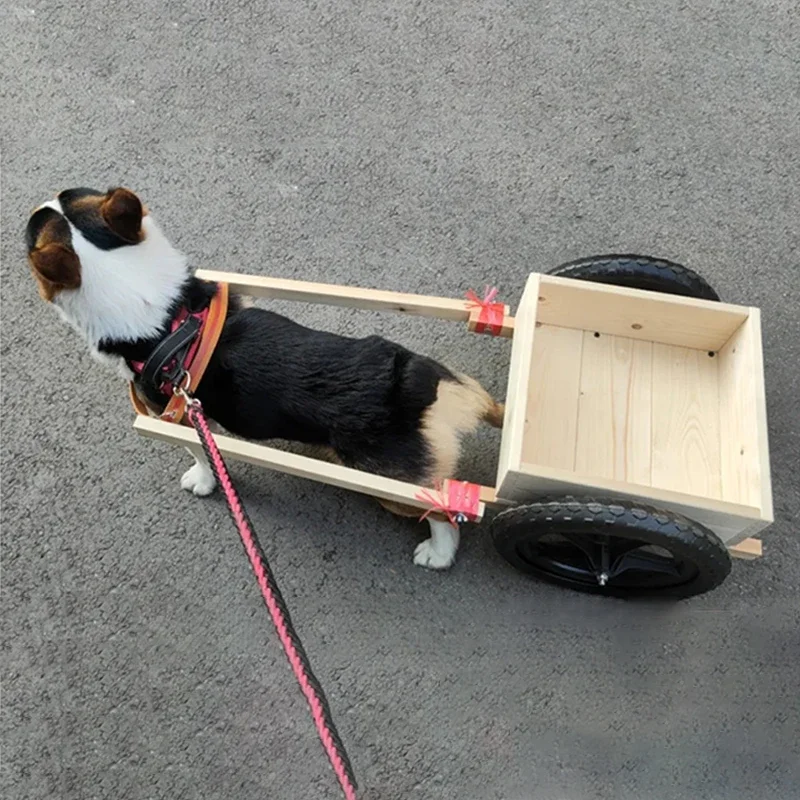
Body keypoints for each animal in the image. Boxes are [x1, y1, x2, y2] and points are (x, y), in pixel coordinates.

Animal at [25, 189, 504, 568]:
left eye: (27, 237)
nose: (33, 204)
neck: (167, 317)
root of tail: (415, 383)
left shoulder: (179, 418)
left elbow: (203, 457)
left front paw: (201, 483)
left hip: (393, 487)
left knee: (443, 514)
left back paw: (437, 554)